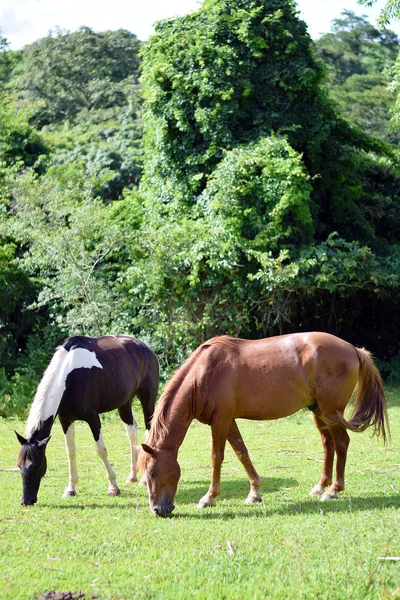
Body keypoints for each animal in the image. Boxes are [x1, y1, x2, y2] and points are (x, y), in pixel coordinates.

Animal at [15, 336, 159, 504]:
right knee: (132, 432)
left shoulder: (93, 418)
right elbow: (70, 451)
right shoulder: (66, 420)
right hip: (124, 404)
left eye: (38, 466)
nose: (26, 500)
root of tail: (144, 347)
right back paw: (132, 476)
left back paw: (144, 480)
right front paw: (71, 489)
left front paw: (113, 487)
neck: (69, 377)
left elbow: (101, 450)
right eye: (19, 465)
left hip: (147, 400)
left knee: (148, 431)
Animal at [139, 330, 390, 516]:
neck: (204, 374)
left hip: (331, 411)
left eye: (153, 473)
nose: (158, 510)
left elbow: (216, 457)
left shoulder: (220, 421)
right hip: (318, 411)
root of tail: (353, 349)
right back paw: (321, 486)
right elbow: (242, 452)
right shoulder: (228, 421)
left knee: (341, 444)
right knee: (328, 445)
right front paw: (255, 492)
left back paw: (334, 490)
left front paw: (209, 497)